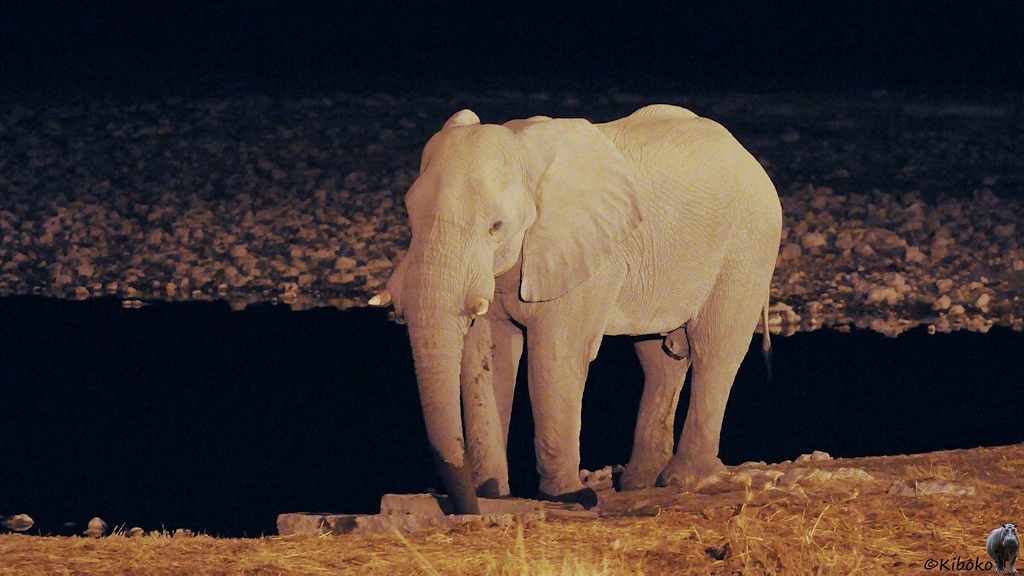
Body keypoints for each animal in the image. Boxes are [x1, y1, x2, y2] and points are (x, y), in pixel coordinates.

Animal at [371, 104, 782, 514]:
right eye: (409, 218)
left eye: (496, 226)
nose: (465, 506)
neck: (526, 156)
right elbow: (484, 357)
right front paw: (494, 492)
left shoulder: (588, 256)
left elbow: (555, 355)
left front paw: (570, 498)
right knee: (659, 360)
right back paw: (637, 483)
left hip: (748, 247)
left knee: (715, 349)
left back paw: (684, 479)